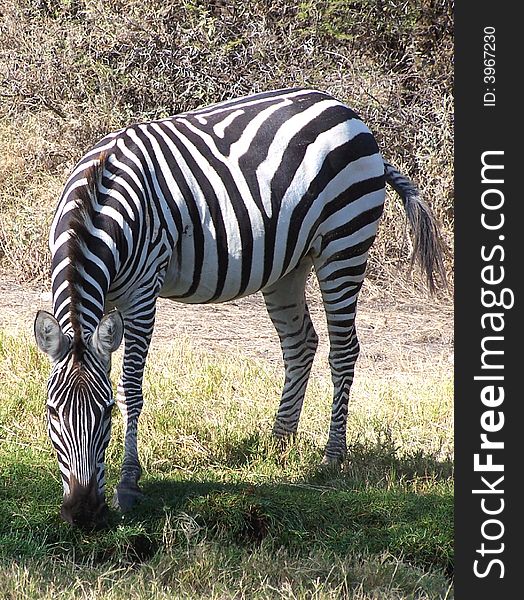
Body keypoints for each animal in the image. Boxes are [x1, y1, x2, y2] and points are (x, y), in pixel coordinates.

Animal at [32, 86, 444, 528]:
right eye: (51, 413)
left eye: (106, 413)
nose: (83, 512)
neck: (97, 205)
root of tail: (347, 112)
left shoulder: (143, 292)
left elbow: (131, 385)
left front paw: (128, 483)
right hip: (290, 263)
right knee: (301, 343)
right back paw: (279, 442)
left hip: (344, 243)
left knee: (344, 349)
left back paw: (332, 456)